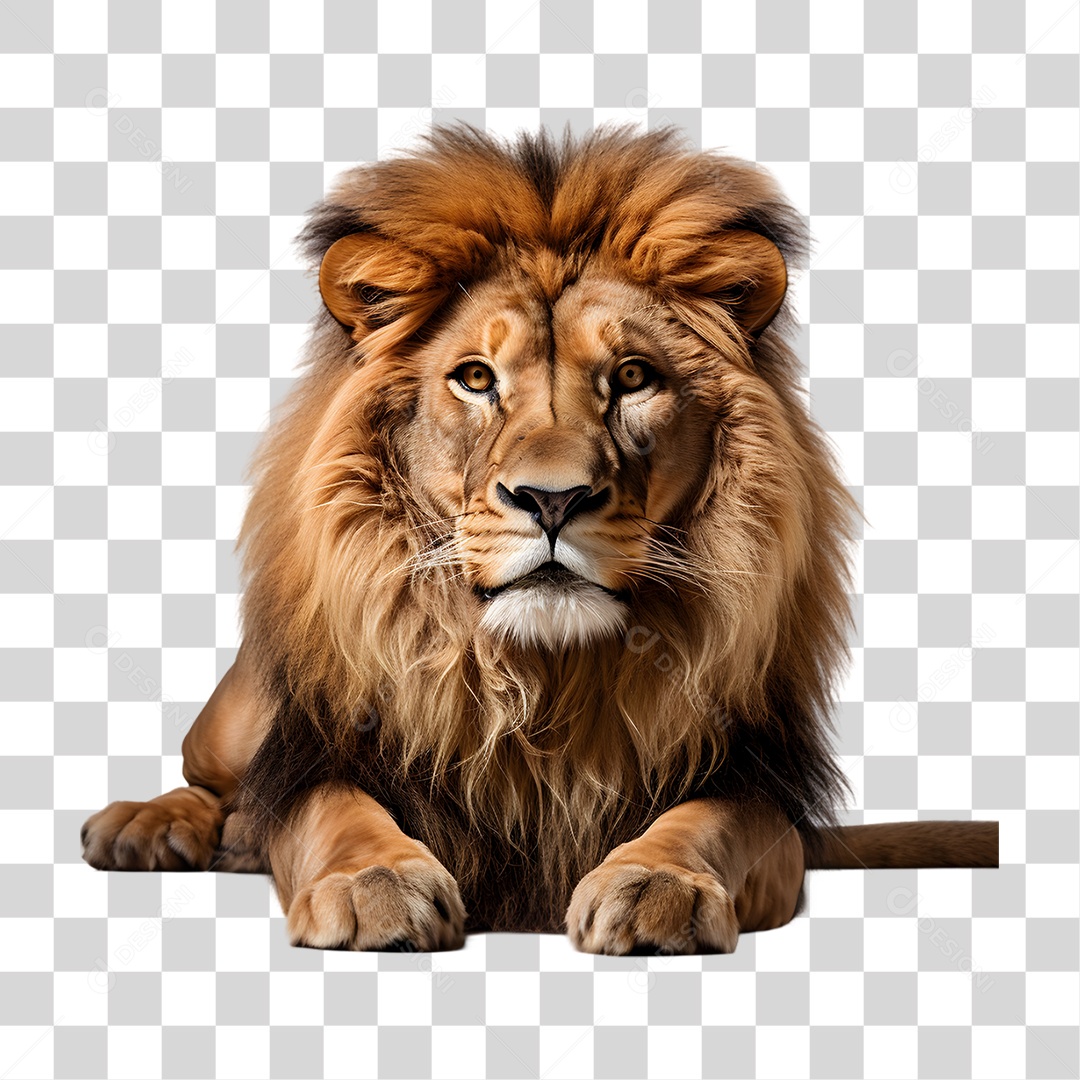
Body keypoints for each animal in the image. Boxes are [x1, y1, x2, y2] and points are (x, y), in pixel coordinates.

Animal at [82, 126, 997, 954]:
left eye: (632, 377)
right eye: (475, 378)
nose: (551, 500)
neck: (546, 676)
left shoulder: (754, 779)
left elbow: (708, 823)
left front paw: (657, 882)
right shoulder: (322, 753)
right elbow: (332, 815)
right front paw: (373, 883)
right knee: (211, 779)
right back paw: (149, 826)